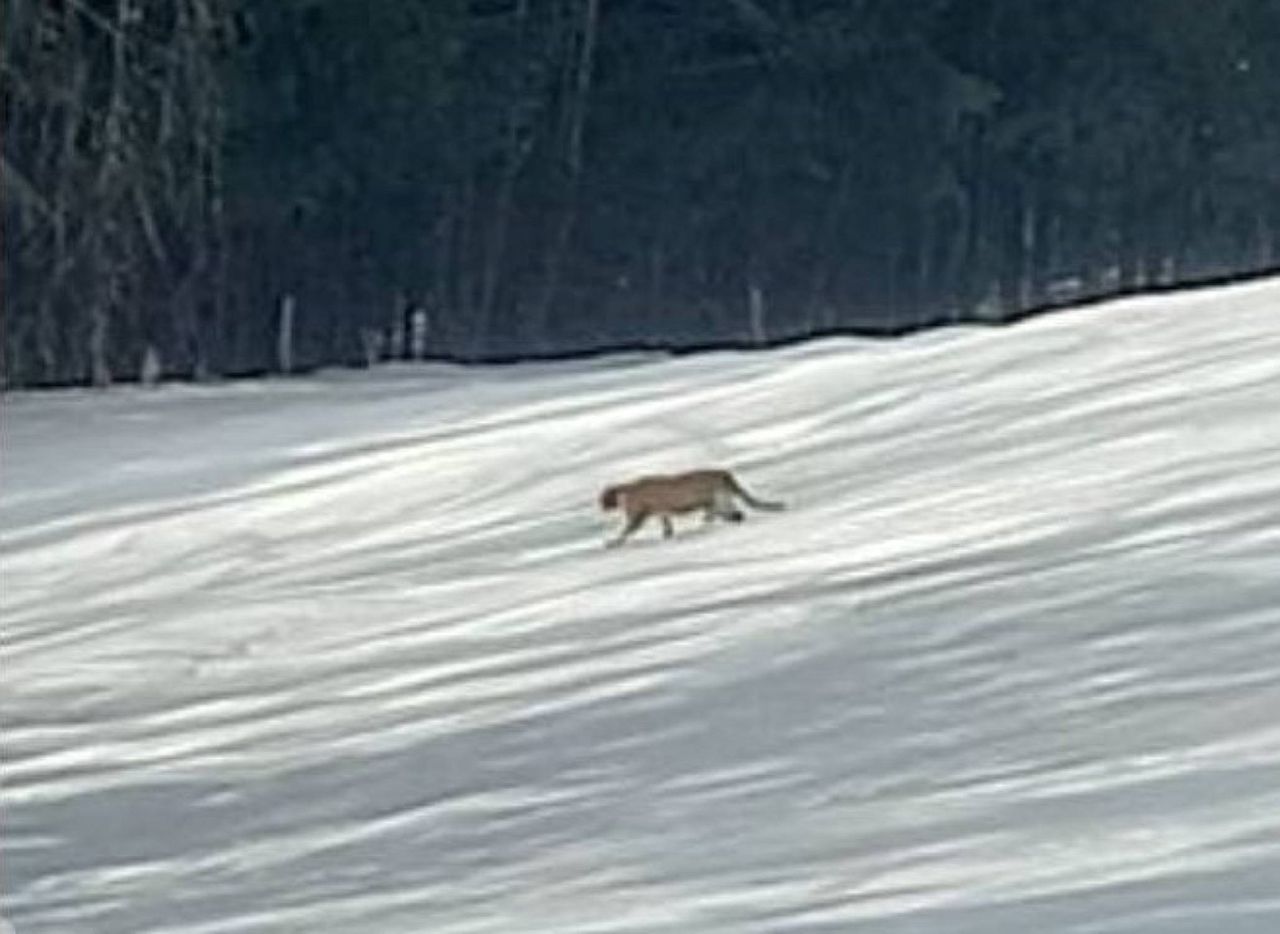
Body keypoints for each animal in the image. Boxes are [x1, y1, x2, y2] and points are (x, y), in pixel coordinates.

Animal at [596, 465, 778, 545]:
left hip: (718, 500)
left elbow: (626, 531)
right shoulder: (661, 512)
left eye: (602, 500)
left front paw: (613, 542)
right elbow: (667, 527)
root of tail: (723, 473)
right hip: (720, 500)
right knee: (730, 513)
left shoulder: (639, 514)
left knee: (730, 513)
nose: (601, 507)